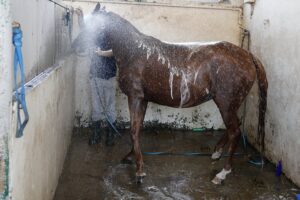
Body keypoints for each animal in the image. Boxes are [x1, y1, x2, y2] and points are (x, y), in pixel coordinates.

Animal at [75, 3, 270, 184]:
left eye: (93, 24)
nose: (75, 46)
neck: (133, 50)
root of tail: (248, 55)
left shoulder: (135, 97)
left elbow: (133, 130)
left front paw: (139, 171)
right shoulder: (143, 99)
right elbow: (137, 129)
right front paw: (131, 156)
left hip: (225, 103)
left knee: (235, 131)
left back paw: (222, 173)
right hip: (230, 104)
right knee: (234, 127)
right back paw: (216, 153)